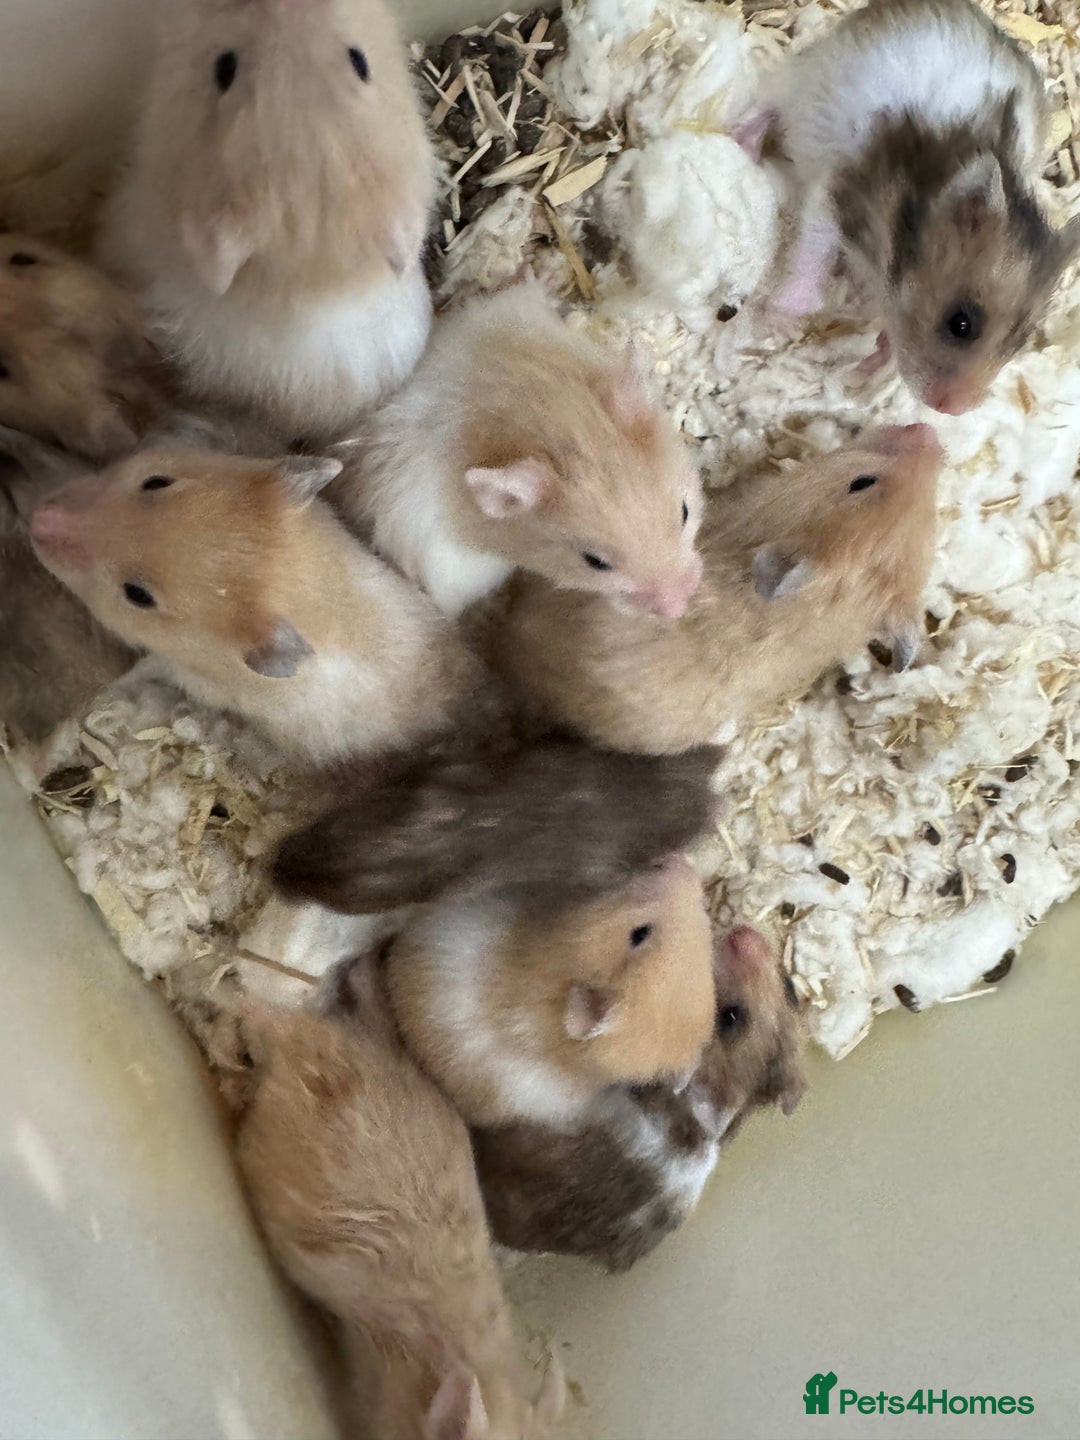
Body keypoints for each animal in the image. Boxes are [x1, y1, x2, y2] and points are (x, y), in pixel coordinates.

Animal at [27, 448, 482, 767]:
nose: (37, 518)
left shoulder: (178, 669)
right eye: (156, 481)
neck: (311, 592)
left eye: (138, 595)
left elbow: (131, 675)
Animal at [746, 0, 1079, 413]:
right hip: (805, 81)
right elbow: (810, 260)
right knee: (764, 104)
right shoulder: (835, 198)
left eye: (1021, 340)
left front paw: (870, 364)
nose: (951, 410)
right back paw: (741, 140)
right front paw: (774, 324)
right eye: (960, 324)